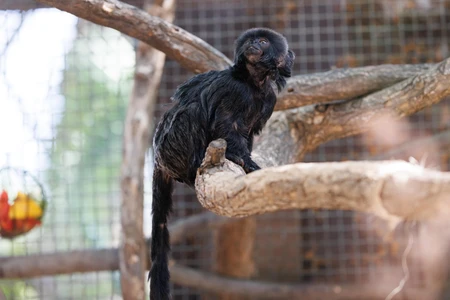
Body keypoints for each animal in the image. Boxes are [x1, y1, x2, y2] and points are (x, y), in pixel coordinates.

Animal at [149, 28, 294, 300]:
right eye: (252, 40)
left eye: (263, 41)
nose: (252, 44)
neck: (254, 83)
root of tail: (158, 158)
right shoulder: (232, 90)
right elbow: (226, 125)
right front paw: (244, 161)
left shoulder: (269, 99)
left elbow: (247, 133)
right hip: (174, 146)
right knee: (192, 111)